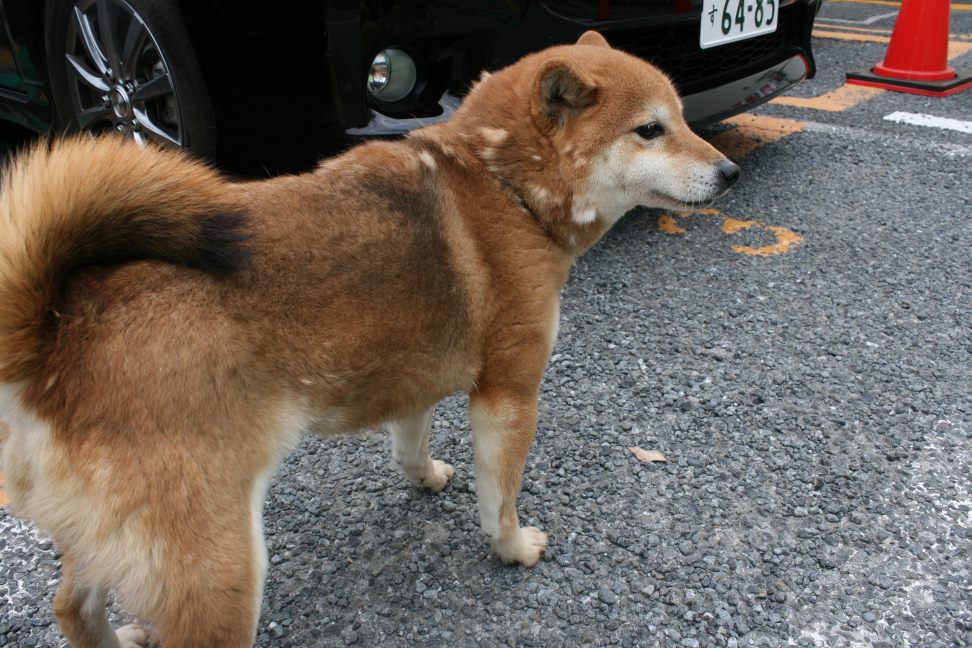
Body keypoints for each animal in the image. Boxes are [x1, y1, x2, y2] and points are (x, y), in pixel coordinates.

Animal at [0, 31, 736, 648]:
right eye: (651, 129)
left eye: (681, 119)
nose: (730, 171)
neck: (504, 186)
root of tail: (53, 340)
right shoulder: (509, 394)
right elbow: (498, 499)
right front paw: (513, 548)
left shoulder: (412, 375)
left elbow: (410, 446)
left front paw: (427, 477)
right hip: (216, 571)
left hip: (107, 538)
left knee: (72, 608)